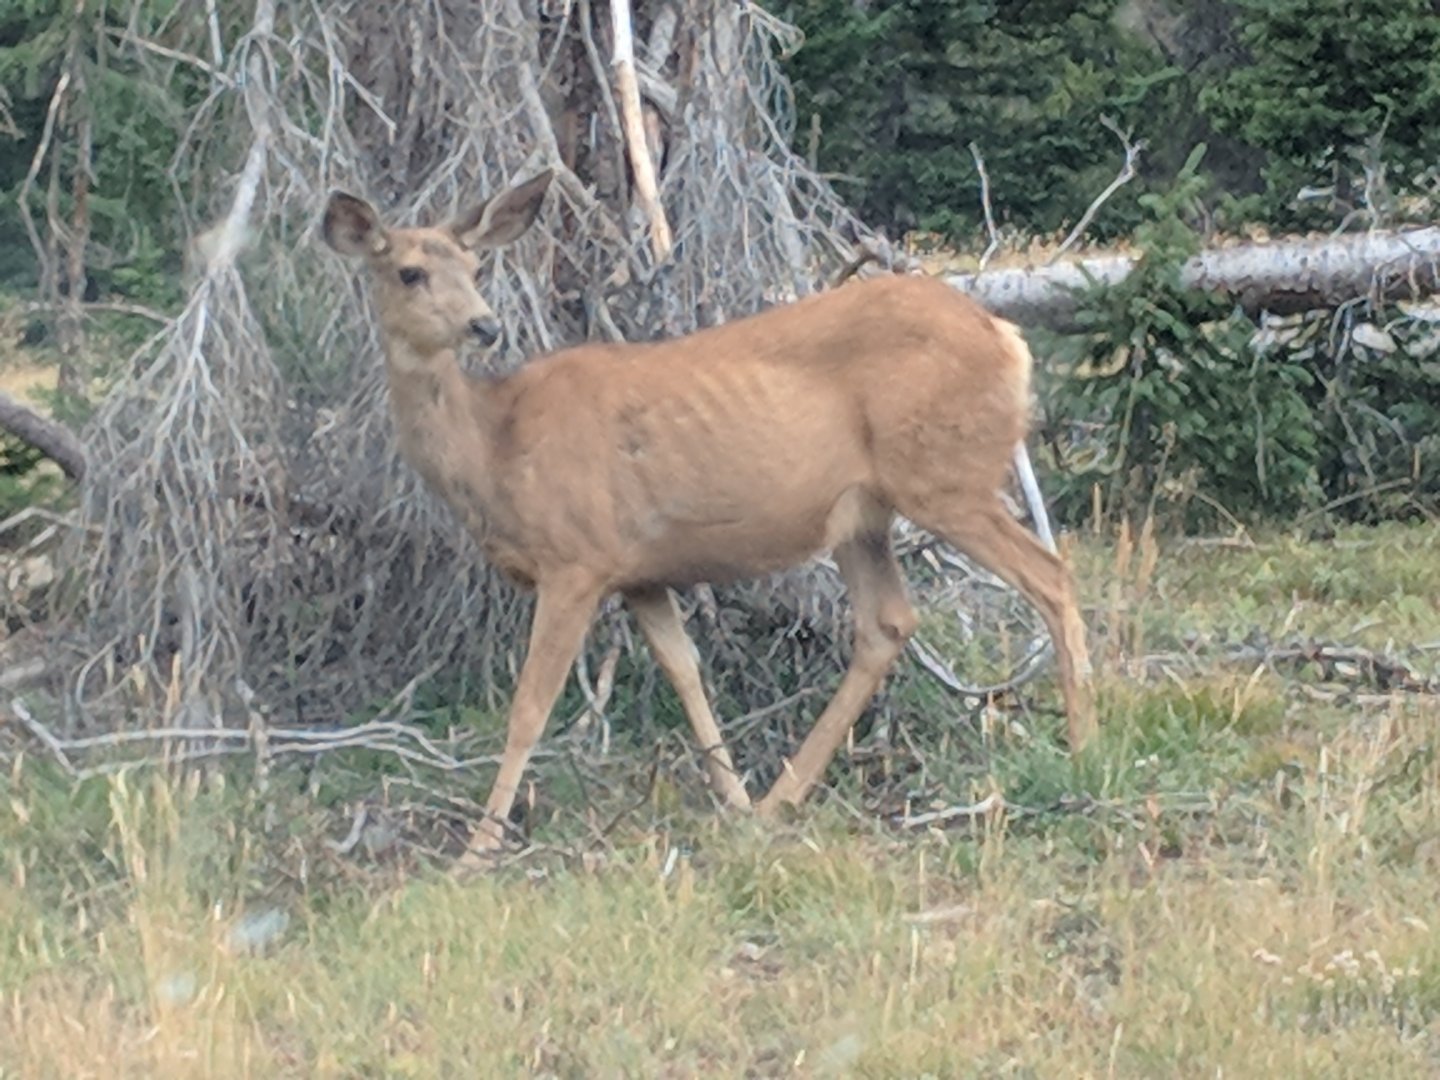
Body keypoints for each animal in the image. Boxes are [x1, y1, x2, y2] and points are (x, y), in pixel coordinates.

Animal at [322, 169, 1096, 868]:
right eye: (411, 272)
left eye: (479, 266)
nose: (484, 323)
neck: (495, 448)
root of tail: (1008, 337)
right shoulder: (639, 572)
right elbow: (686, 672)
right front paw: (736, 803)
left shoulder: (576, 559)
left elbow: (530, 708)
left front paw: (477, 850)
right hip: (862, 514)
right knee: (888, 622)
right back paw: (783, 796)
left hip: (945, 478)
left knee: (1051, 576)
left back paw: (1084, 745)